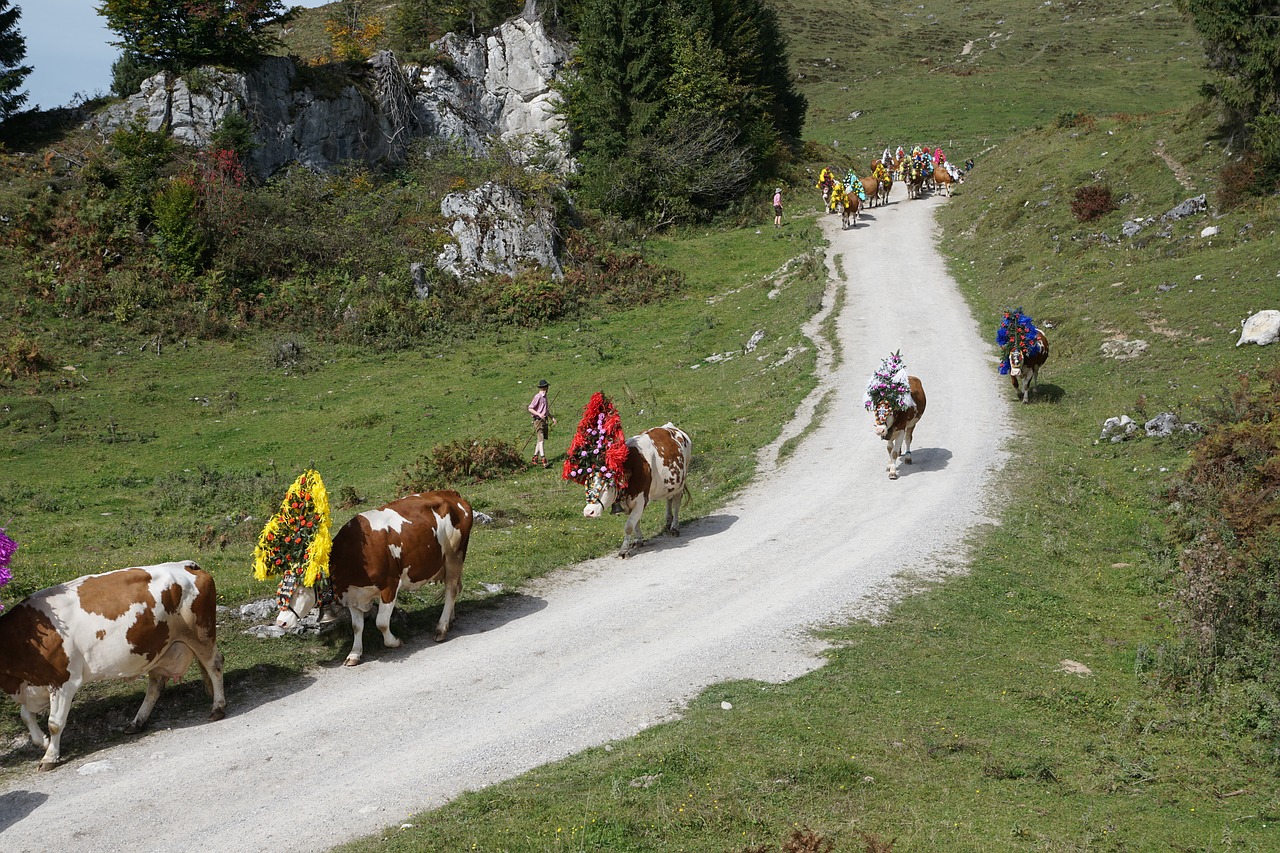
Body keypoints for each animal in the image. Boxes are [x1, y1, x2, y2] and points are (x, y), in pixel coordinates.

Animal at [0, 560, 225, 768]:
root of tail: (188, 564)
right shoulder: (35, 687)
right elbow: (25, 715)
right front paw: (43, 742)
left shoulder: (64, 681)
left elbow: (54, 723)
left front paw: (50, 757)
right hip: (158, 649)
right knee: (156, 684)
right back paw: (137, 722)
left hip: (201, 634)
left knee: (214, 665)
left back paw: (218, 708)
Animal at [586, 422, 696, 555]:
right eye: (588, 485)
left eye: (606, 486)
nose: (588, 512)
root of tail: (672, 427)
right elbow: (635, 523)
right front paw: (638, 540)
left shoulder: (640, 500)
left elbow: (629, 526)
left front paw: (624, 550)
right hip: (670, 484)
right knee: (669, 500)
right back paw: (668, 522)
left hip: (681, 482)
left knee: (676, 504)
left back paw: (674, 528)